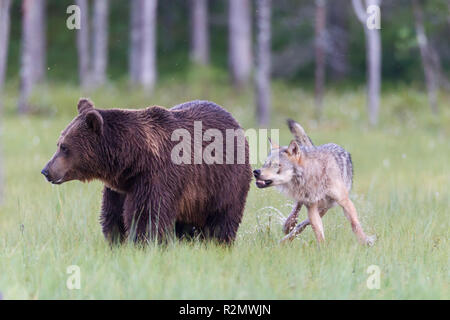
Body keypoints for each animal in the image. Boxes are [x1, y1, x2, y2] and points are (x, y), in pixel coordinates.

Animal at [41, 97, 253, 242]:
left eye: (64, 147)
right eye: (59, 143)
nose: (46, 170)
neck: (132, 160)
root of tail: (237, 125)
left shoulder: (158, 176)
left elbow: (148, 214)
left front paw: (142, 243)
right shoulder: (120, 187)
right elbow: (114, 215)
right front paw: (117, 240)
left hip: (223, 183)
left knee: (222, 217)